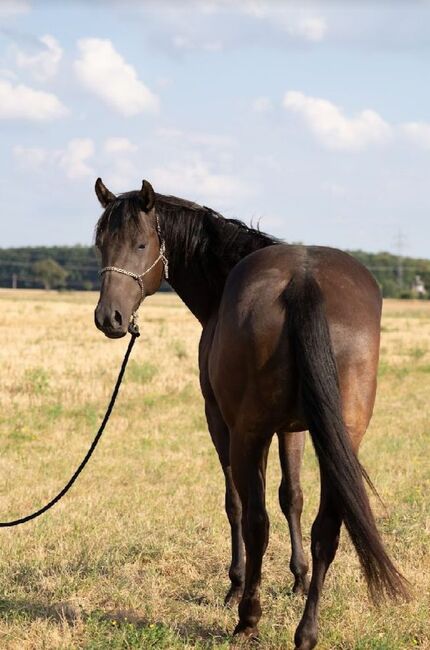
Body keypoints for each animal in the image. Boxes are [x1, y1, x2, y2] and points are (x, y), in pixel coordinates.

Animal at [93, 177, 406, 648]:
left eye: (141, 243)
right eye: (100, 245)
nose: (109, 318)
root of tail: (302, 281)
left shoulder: (223, 422)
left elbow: (237, 505)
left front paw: (235, 584)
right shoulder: (296, 429)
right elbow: (292, 497)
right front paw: (298, 578)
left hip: (248, 434)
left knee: (256, 520)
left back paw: (248, 618)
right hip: (342, 440)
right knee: (326, 529)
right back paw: (306, 631)